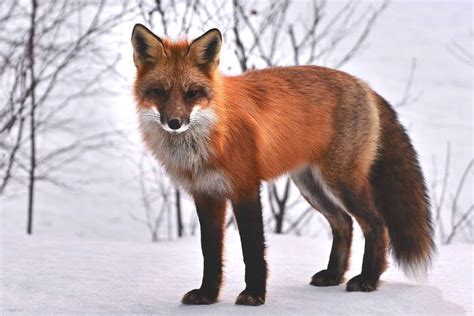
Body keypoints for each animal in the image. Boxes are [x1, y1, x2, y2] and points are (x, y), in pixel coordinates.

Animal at [130, 24, 434, 306]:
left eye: (192, 93)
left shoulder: (245, 188)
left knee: (376, 225)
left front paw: (254, 295)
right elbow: (210, 252)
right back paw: (334, 275)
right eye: (159, 92)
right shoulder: (206, 194)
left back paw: (368, 279)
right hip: (311, 186)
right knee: (344, 223)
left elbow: (252, 250)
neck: (209, 137)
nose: (175, 122)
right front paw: (208, 295)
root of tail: (363, 85)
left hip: (341, 182)